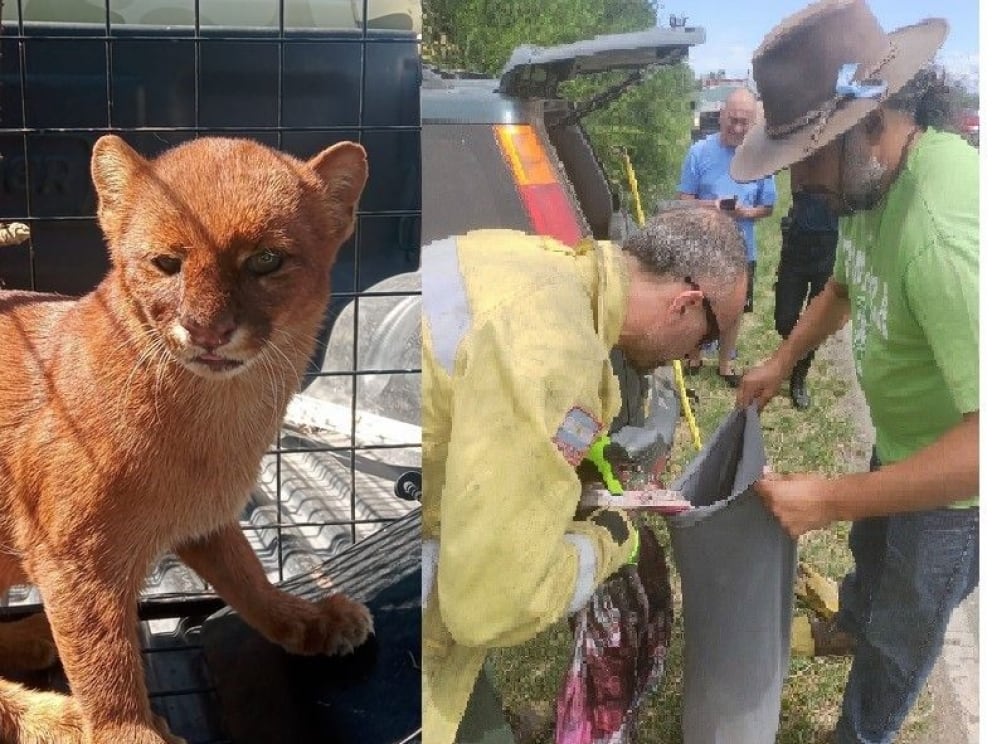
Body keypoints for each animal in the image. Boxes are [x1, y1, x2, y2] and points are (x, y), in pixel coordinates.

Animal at [0, 135, 370, 744]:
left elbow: (248, 577)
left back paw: (31, 639)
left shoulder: (206, 519)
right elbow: (105, 664)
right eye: (166, 263)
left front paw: (306, 619)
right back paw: (58, 714)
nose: (207, 330)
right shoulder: (73, 559)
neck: (215, 421)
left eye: (266, 259)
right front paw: (127, 734)